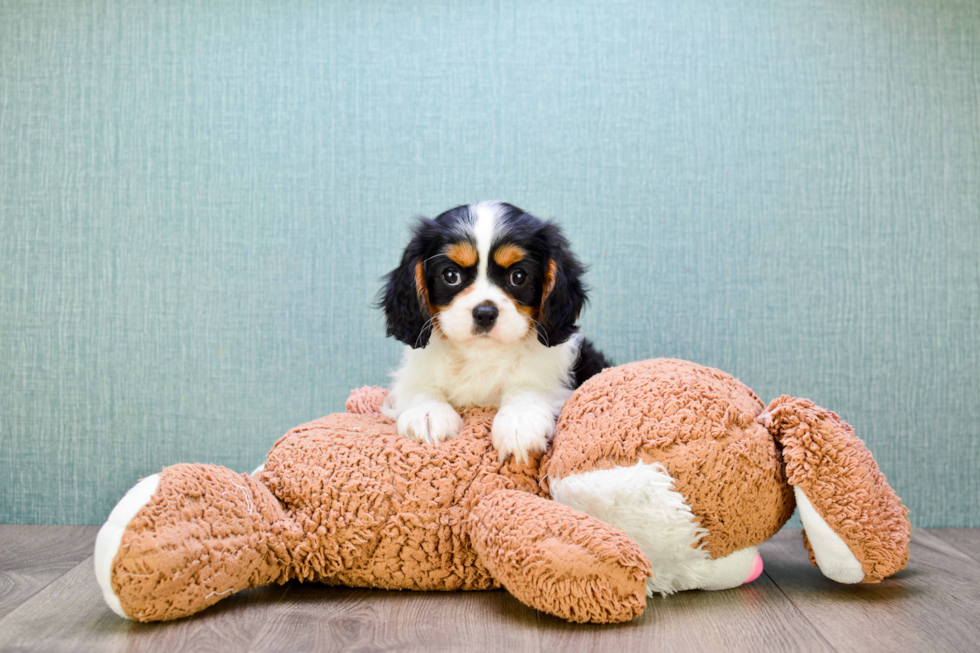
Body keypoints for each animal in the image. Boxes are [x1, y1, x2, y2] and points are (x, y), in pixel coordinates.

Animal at [378, 201, 608, 460]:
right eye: (451, 276)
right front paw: (428, 414)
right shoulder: (412, 375)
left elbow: (528, 387)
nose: (485, 313)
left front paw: (519, 421)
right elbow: (420, 388)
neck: (481, 354)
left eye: (518, 276)